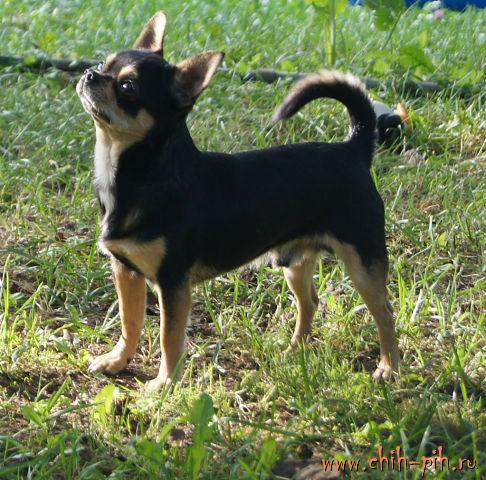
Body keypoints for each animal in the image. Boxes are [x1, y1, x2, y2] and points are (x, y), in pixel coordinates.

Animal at [76, 11, 399, 392]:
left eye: (127, 88)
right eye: (103, 63)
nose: (90, 73)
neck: (135, 172)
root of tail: (353, 148)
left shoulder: (173, 285)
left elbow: (169, 338)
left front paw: (165, 383)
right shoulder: (126, 270)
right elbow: (130, 322)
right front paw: (118, 360)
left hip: (363, 264)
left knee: (385, 313)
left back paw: (389, 367)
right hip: (295, 262)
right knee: (310, 302)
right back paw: (295, 350)